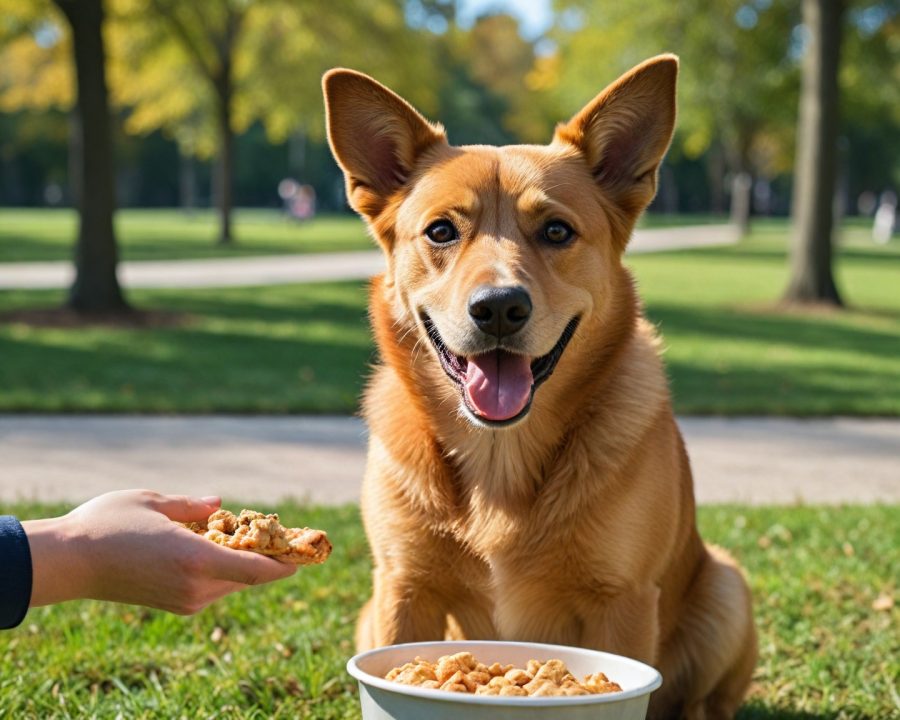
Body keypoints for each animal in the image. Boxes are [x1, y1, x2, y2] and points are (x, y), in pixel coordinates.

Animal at [320, 53, 756, 716]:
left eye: (555, 231)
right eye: (441, 232)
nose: (499, 307)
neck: (500, 459)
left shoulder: (622, 598)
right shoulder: (402, 588)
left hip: (727, 588)